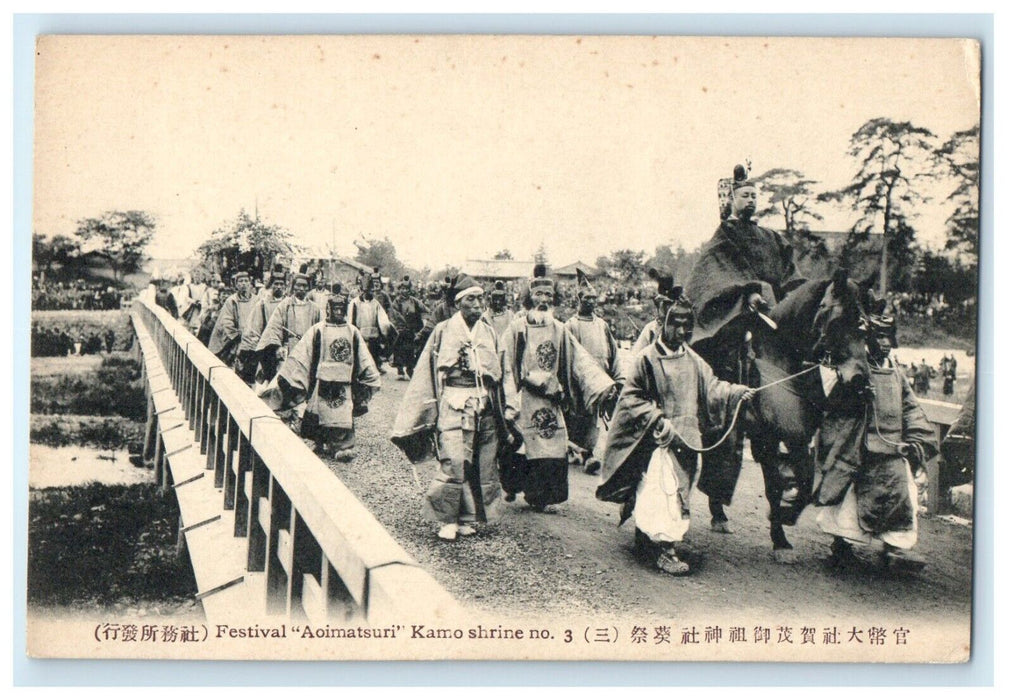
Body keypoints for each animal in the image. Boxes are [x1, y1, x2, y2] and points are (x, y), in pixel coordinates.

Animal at [721, 269, 872, 560]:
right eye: (837, 320)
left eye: (864, 325)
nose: (859, 379)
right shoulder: (767, 438)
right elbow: (775, 485)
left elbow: (805, 482)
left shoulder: (798, 437)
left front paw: (786, 515)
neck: (781, 357)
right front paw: (780, 533)